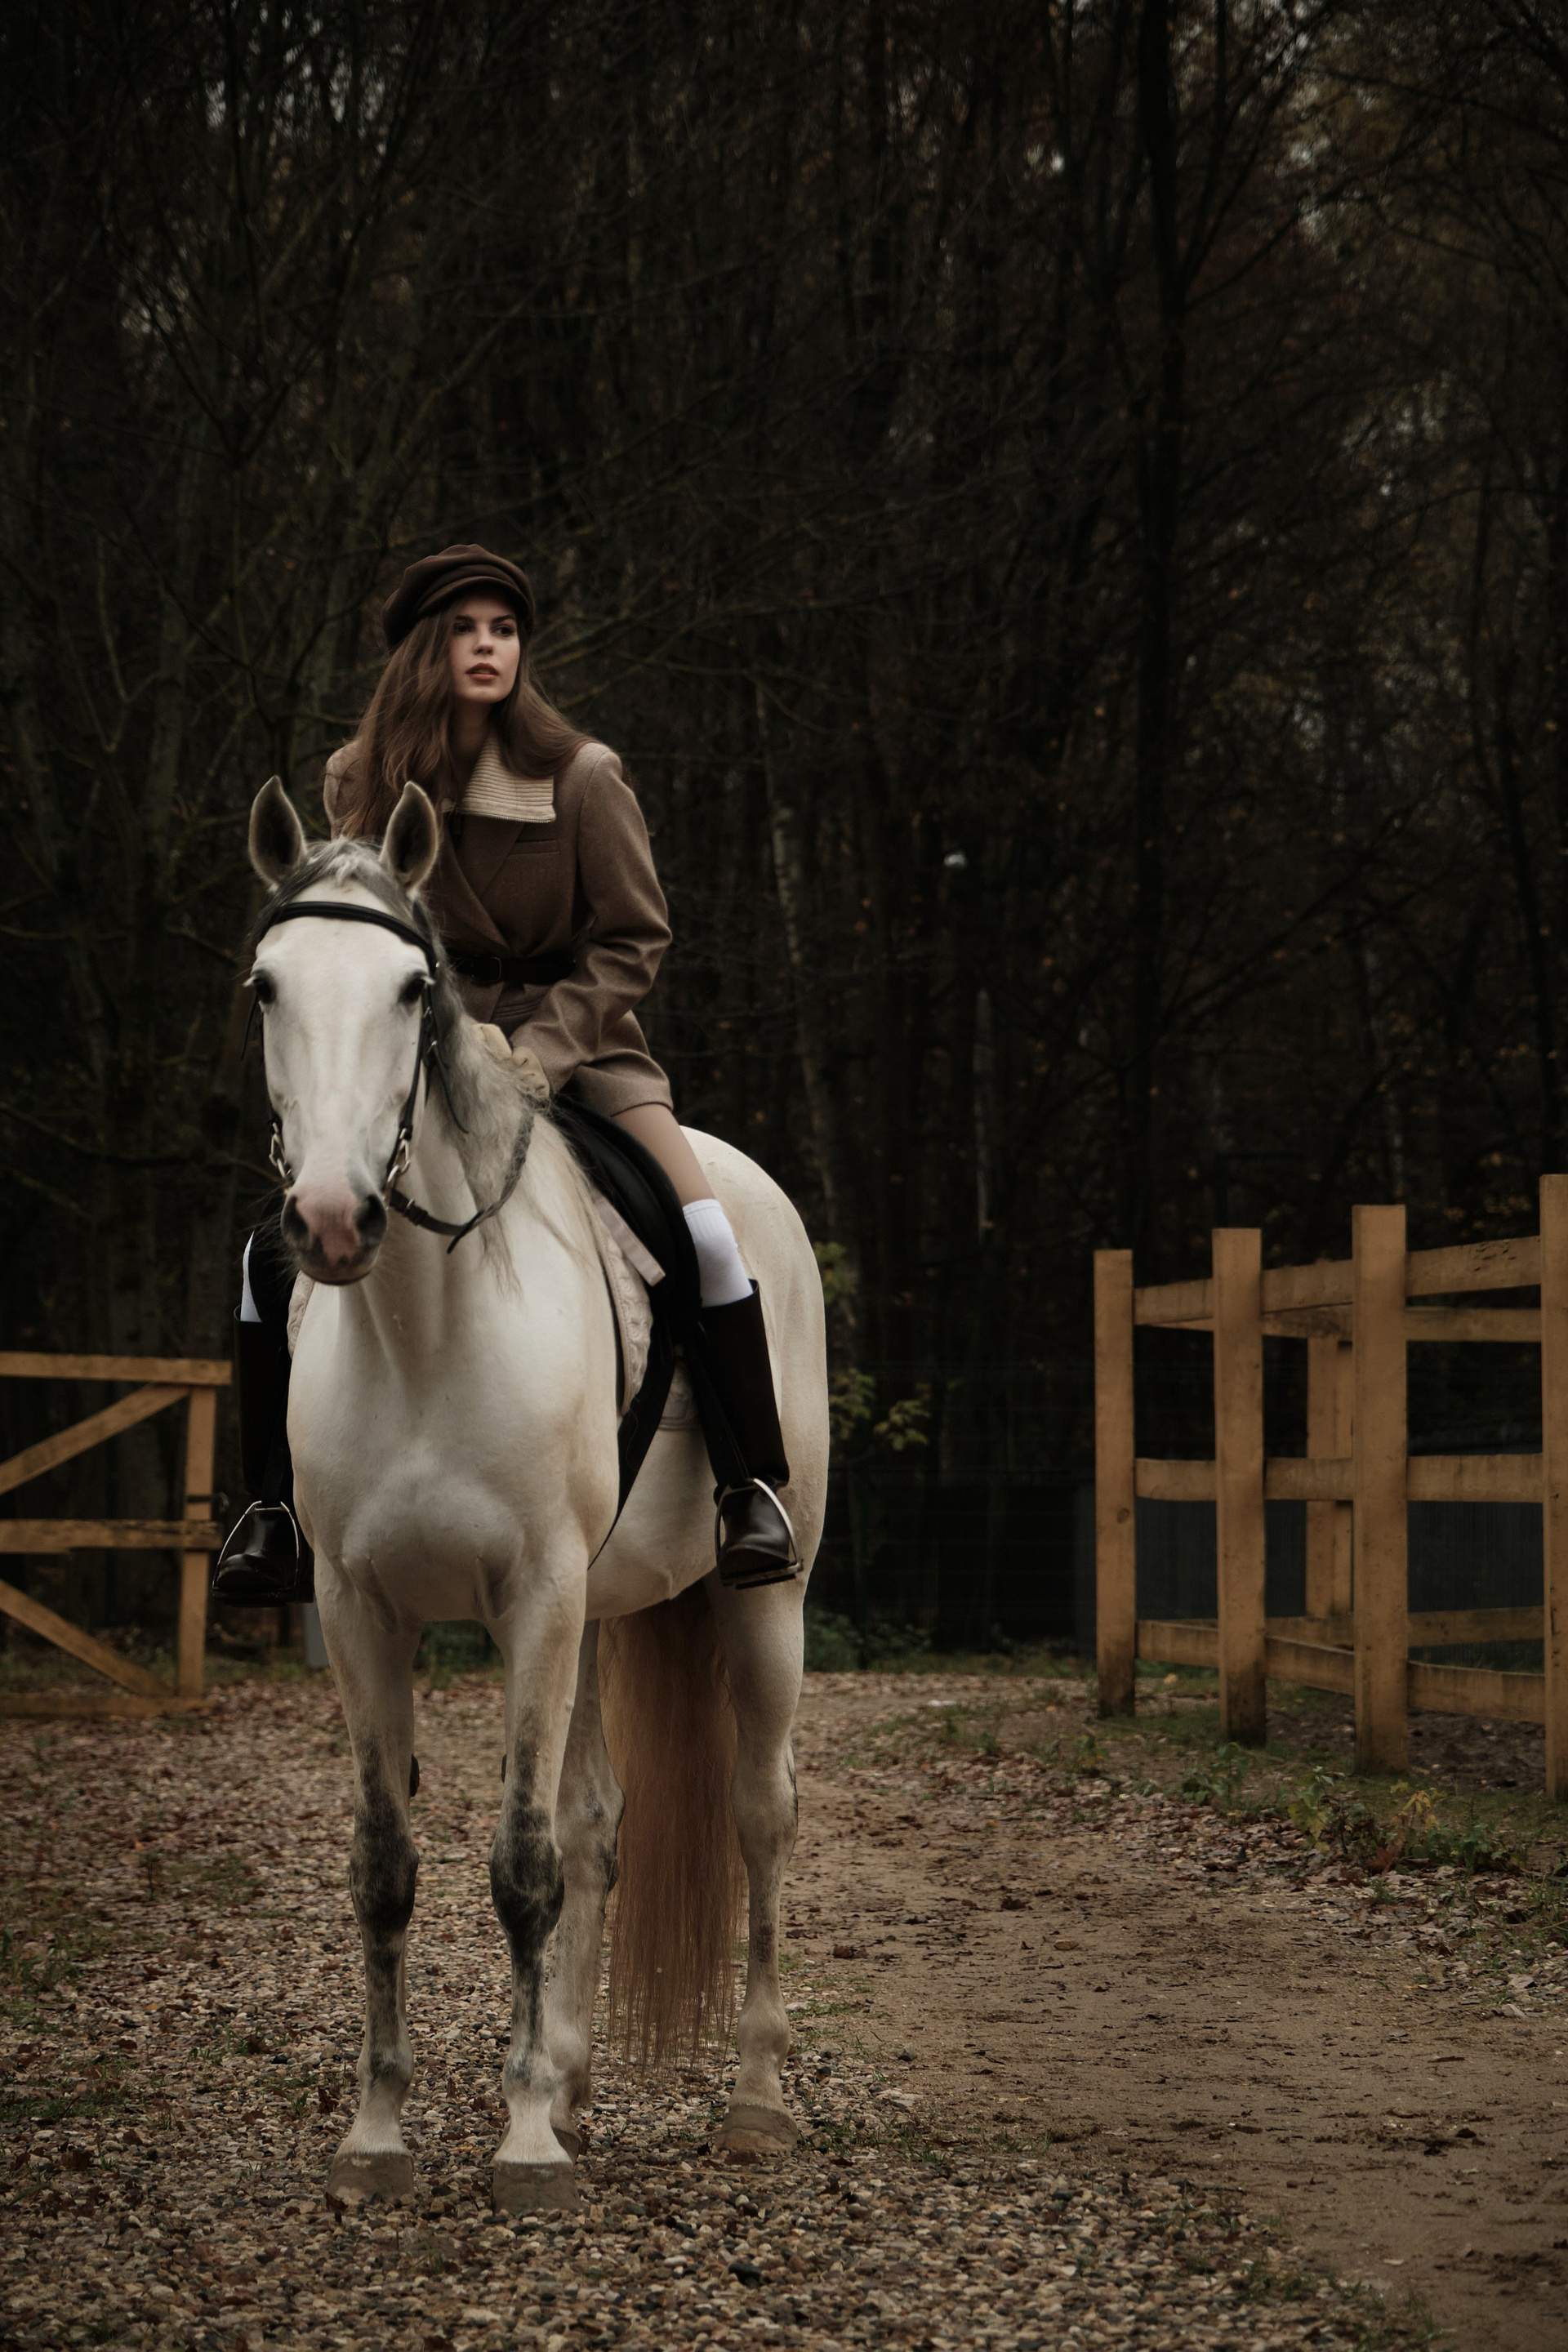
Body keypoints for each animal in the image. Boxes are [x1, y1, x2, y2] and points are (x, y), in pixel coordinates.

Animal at [244, 776, 828, 2212]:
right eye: (266, 987)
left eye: (413, 989)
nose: (331, 1222)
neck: (424, 1326)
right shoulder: (364, 1612)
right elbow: (388, 1866)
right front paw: (380, 2134)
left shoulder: (537, 1597)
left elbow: (519, 1866)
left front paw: (520, 2149)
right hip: (602, 1616)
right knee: (602, 1827)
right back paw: (566, 2075)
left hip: (757, 1606)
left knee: (760, 1815)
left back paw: (753, 2101)